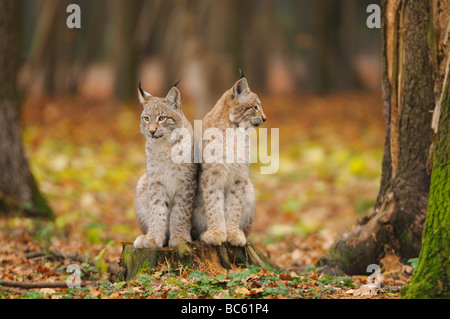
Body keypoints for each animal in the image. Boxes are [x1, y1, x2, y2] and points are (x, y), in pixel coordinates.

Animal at [134, 84, 197, 249]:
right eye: (146, 118)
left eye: (162, 118)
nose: (151, 131)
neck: (164, 146)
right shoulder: (156, 182)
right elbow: (157, 210)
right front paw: (153, 238)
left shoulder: (186, 182)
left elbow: (180, 211)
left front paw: (180, 237)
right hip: (142, 181)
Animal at [192, 76, 266, 246]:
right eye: (255, 107)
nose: (265, 118)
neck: (234, 130)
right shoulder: (212, 175)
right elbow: (213, 204)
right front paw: (216, 232)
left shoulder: (239, 176)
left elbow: (234, 205)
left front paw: (232, 232)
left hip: (249, 187)